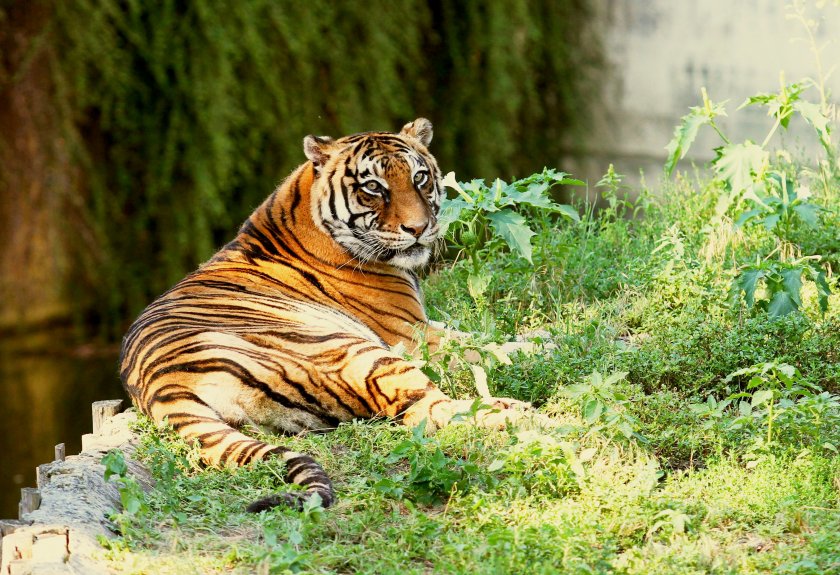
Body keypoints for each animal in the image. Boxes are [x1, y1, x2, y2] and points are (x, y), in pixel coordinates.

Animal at [118, 119, 540, 510]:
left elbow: (494, 336)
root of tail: (162, 386)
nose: (419, 229)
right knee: (428, 412)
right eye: (374, 188)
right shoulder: (412, 334)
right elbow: (491, 347)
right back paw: (516, 412)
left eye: (419, 177)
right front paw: (544, 347)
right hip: (359, 352)